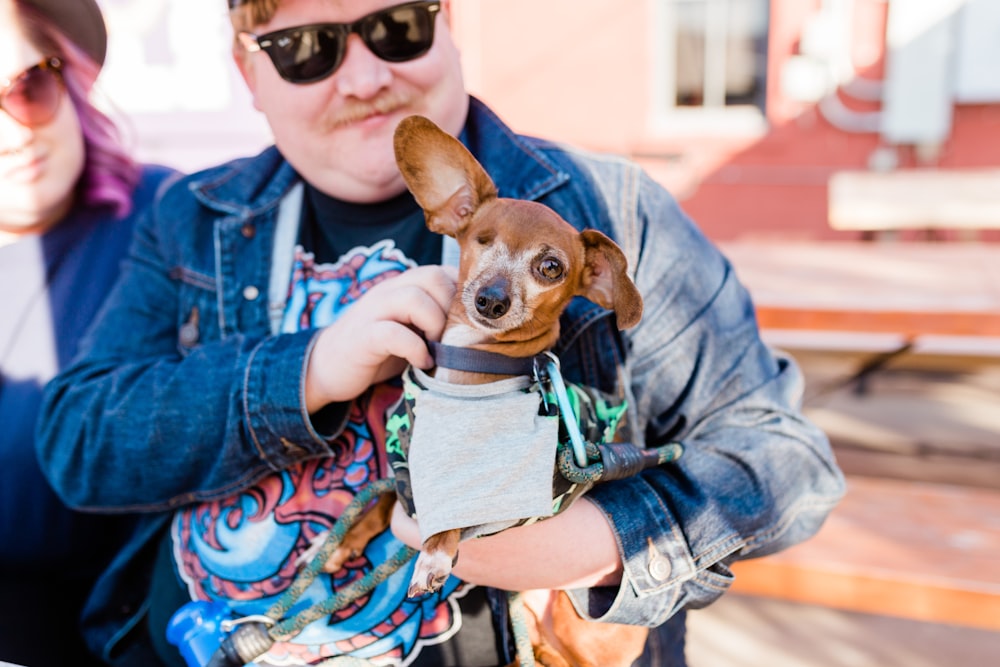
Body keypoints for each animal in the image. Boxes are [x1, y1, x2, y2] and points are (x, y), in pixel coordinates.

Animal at [318, 117, 648, 664]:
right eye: (480, 240)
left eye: (551, 267)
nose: (491, 299)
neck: (467, 373)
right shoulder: (408, 473)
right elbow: (386, 501)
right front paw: (350, 539)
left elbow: (450, 521)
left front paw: (432, 556)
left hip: (576, 629)